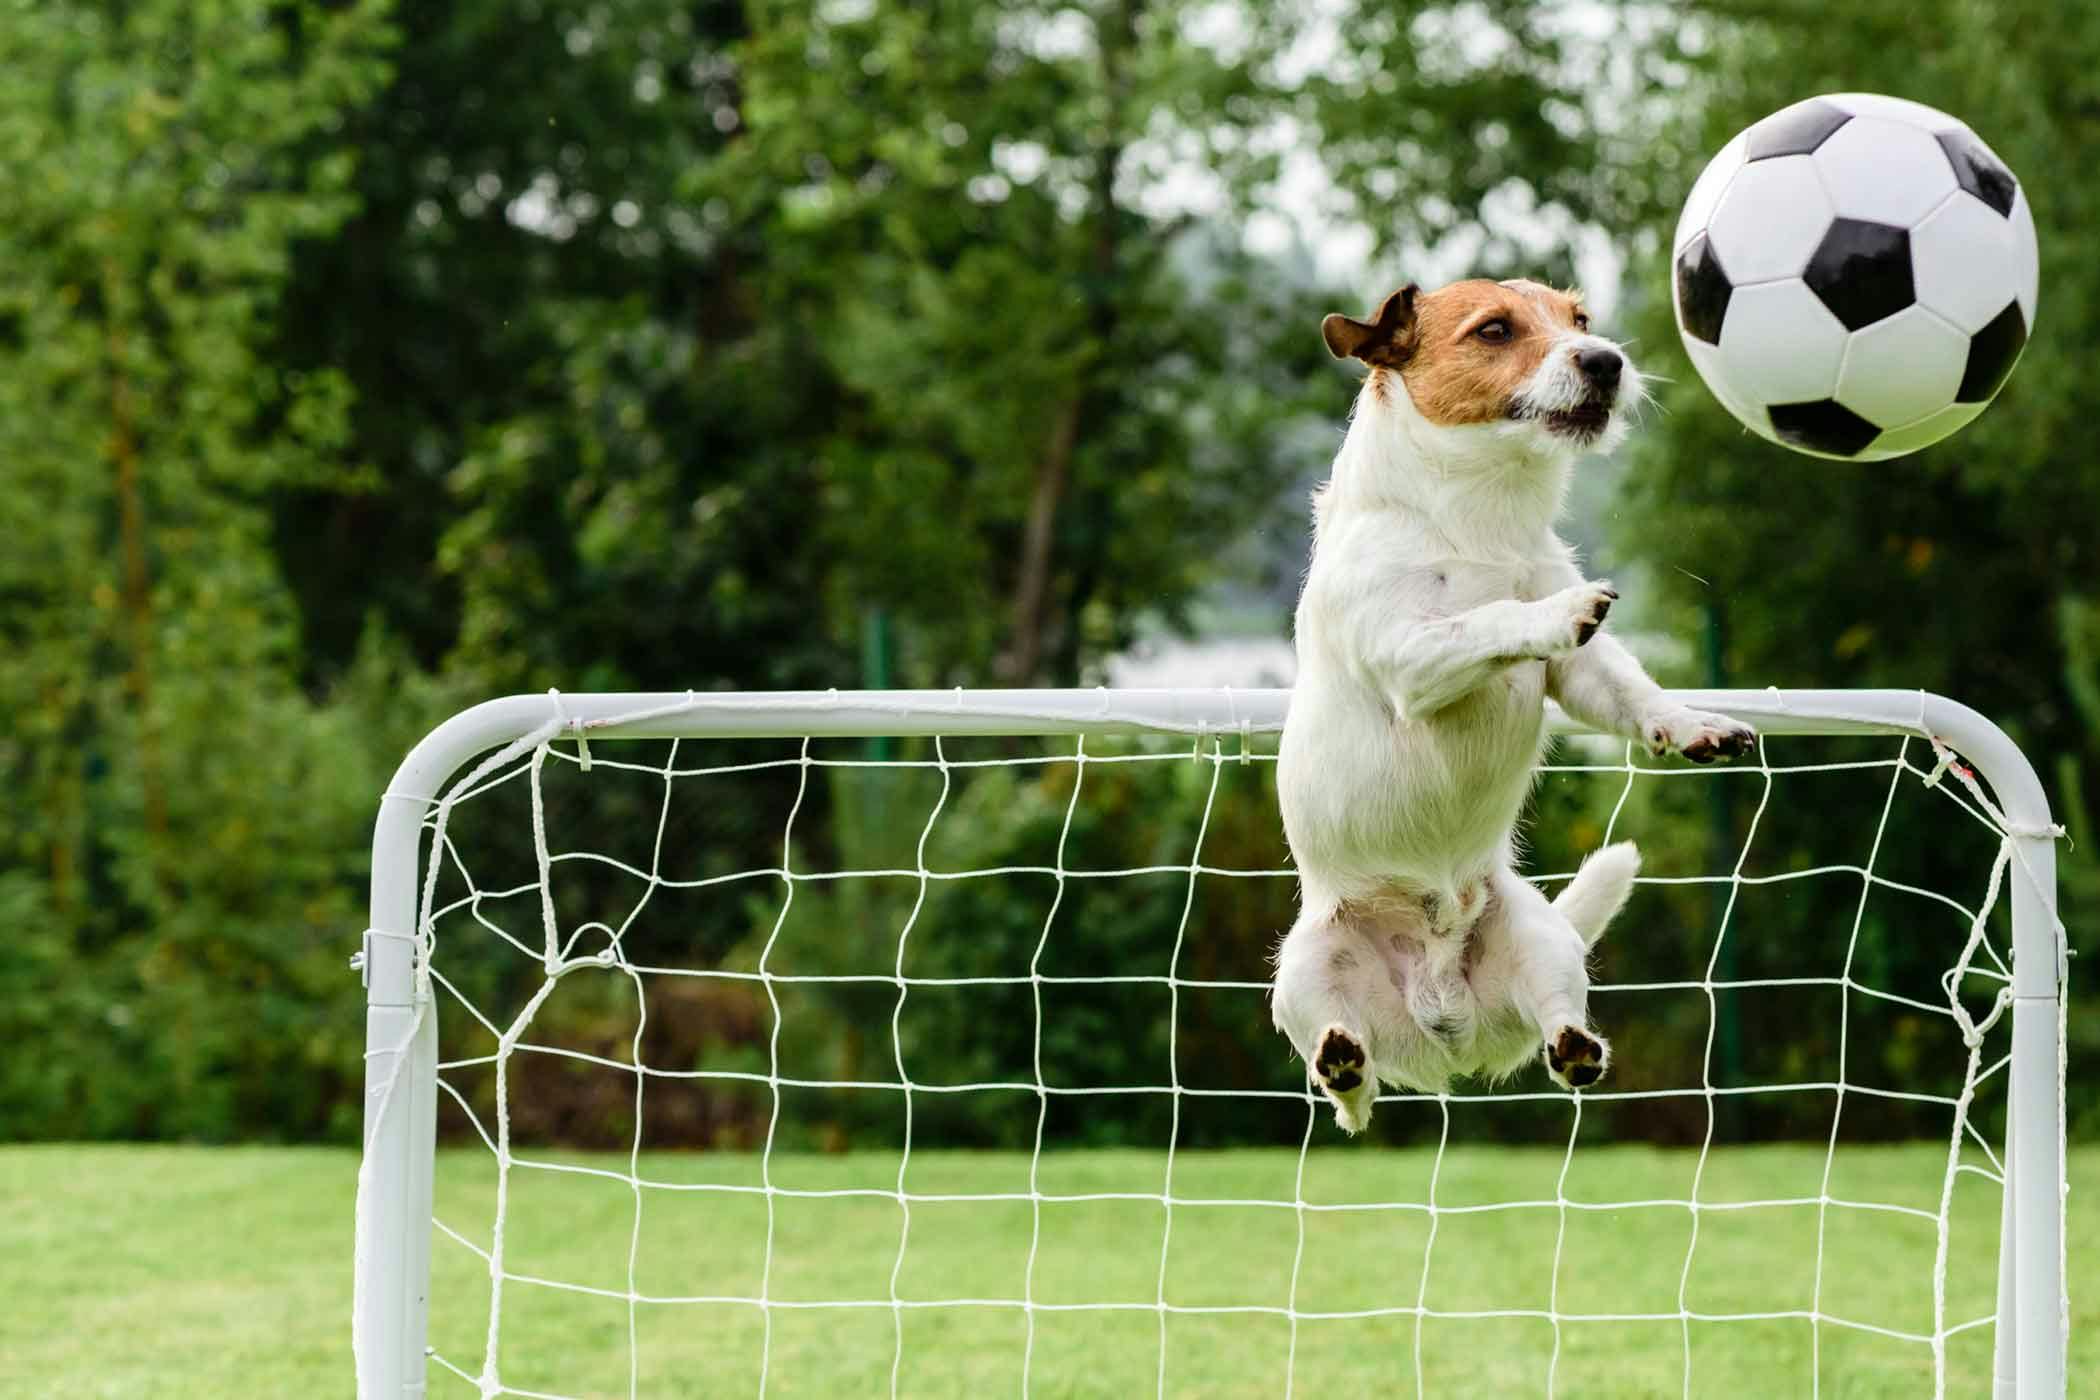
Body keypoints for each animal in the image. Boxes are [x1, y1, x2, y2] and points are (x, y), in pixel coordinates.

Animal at [1276, 279, 1755, 1133]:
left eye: (1580, 321)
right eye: (1494, 331)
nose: (1605, 361)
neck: (1478, 518)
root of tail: (1446, 1033)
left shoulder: (1583, 674)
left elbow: (1630, 689)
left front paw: (1690, 724)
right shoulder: (1409, 653)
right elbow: (1493, 617)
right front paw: (1555, 610)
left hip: (1542, 941)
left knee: (1556, 1012)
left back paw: (1575, 1047)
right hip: (1300, 973)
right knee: (1348, 1085)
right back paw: (1342, 1066)